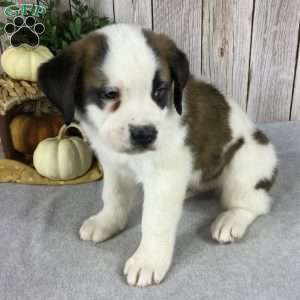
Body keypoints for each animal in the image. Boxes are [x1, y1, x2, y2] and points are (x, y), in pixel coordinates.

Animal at [37, 23, 276, 286]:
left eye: (159, 90)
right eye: (110, 94)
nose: (144, 134)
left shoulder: (165, 176)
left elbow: (155, 221)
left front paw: (148, 260)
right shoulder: (114, 165)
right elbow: (113, 197)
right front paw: (108, 221)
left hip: (244, 165)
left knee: (256, 203)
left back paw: (232, 218)